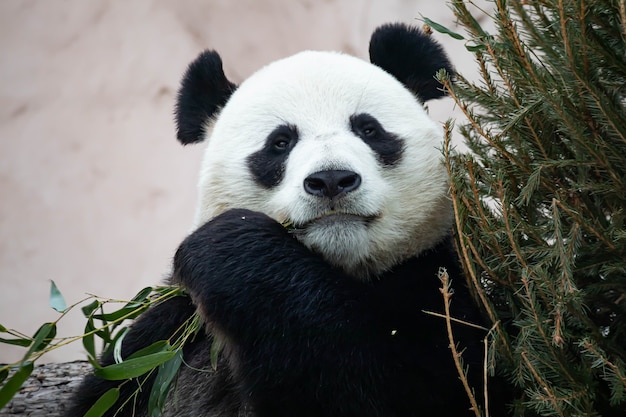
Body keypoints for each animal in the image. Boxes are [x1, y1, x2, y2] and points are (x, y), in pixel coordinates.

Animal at [66, 22, 504, 416]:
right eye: (280, 142)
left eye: (368, 129)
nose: (331, 180)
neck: (334, 272)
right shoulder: (162, 336)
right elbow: (109, 391)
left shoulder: (440, 287)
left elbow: (407, 385)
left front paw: (232, 247)